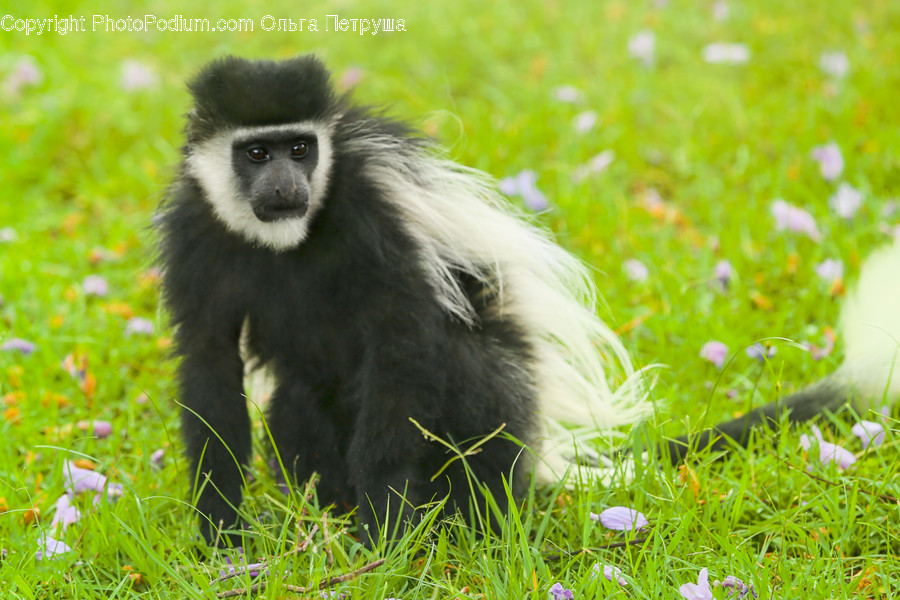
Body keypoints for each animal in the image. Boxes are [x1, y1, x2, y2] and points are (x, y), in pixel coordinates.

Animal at [157, 54, 900, 547]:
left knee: (461, 357)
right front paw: (221, 535)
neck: (286, 239)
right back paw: (334, 510)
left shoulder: (375, 210)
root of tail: (533, 457)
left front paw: (385, 529)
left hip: (500, 407)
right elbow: (209, 363)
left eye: (300, 148)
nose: (286, 184)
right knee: (296, 399)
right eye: (256, 154)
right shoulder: (195, 234)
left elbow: (404, 333)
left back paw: (467, 521)